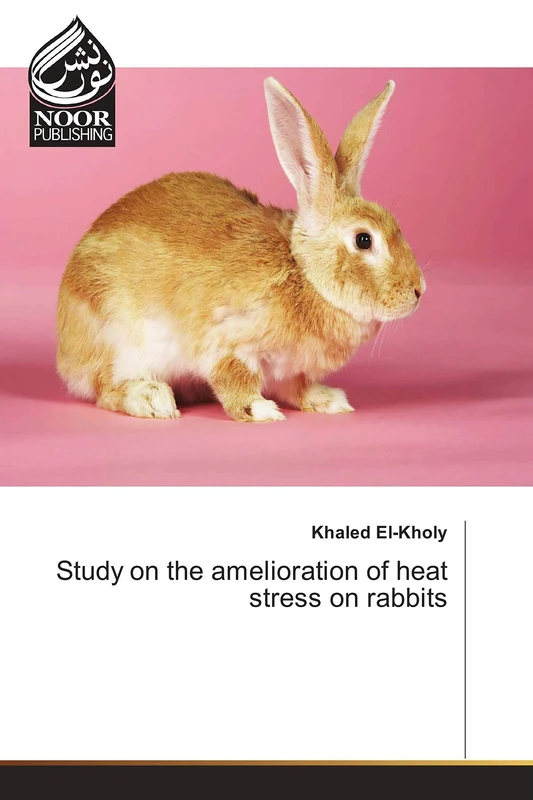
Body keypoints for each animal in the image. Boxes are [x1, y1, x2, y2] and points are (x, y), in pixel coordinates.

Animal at [56, 77, 425, 422]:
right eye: (364, 240)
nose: (418, 290)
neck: (304, 273)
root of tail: (65, 351)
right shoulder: (230, 342)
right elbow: (236, 381)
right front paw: (262, 411)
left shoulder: (292, 369)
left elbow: (298, 387)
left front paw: (330, 401)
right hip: (121, 343)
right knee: (106, 388)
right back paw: (152, 399)